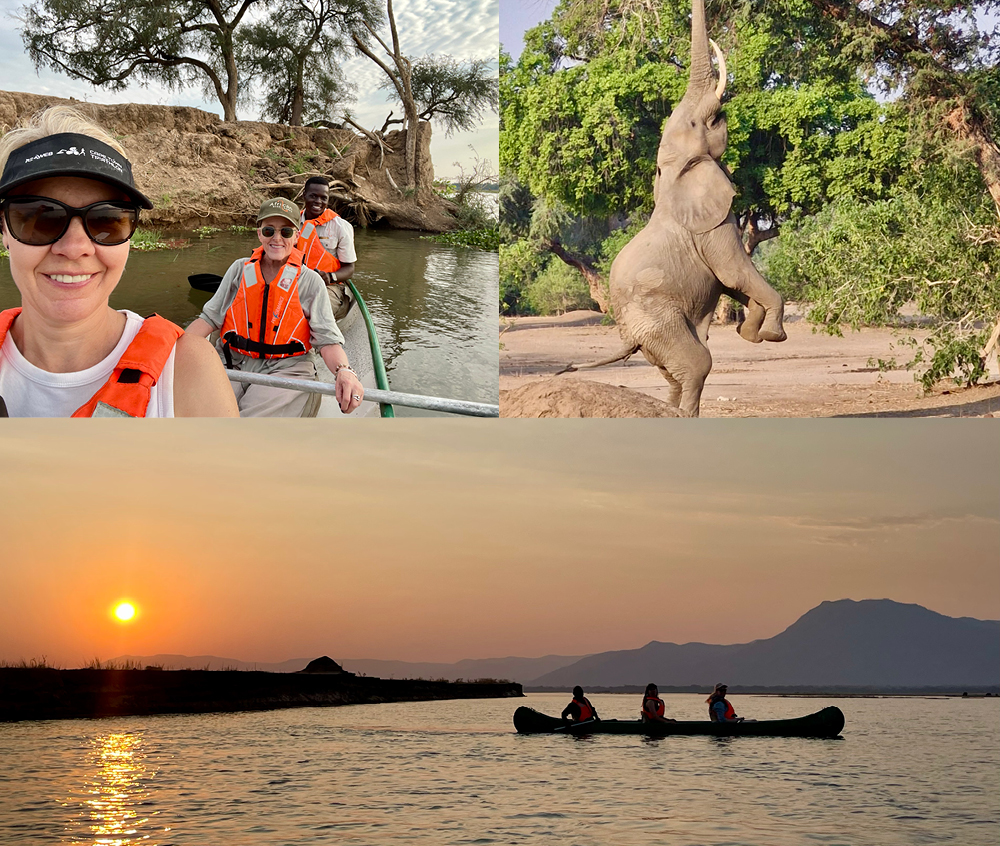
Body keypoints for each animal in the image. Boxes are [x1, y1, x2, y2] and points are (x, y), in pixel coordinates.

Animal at [569, 0, 786, 417]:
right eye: (704, 121)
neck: (672, 172)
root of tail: (628, 336)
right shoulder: (712, 225)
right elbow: (734, 273)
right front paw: (770, 334)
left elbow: (732, 283)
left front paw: (748, 330)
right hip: (658, 319)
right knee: (698, 363)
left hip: (654, 332)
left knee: (676, 372)